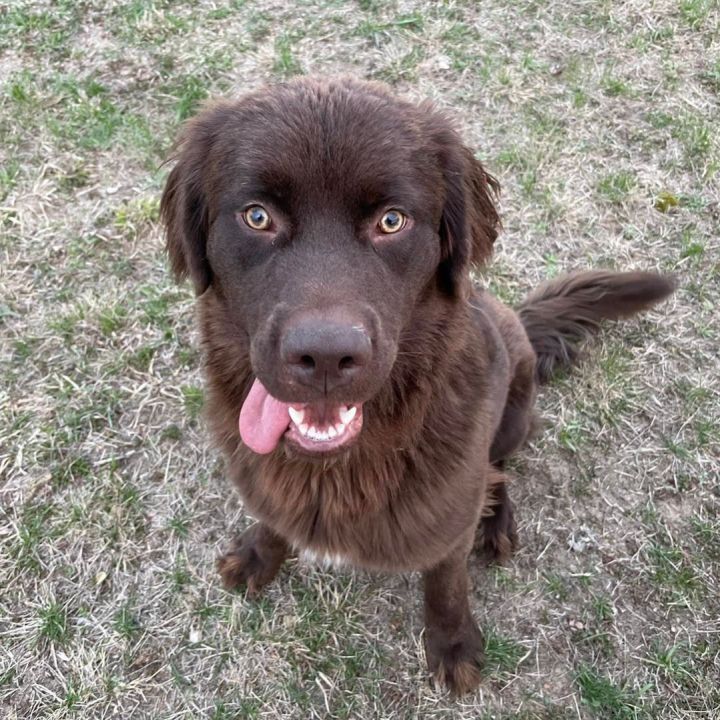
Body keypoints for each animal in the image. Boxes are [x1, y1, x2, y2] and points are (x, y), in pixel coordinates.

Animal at [162, 76, 676, 696]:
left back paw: (497, 519)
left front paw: (452, 646)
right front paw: (259, 555)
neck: (339, 467)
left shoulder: (448, 518)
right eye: (257, 217)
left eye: (392, 221)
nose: (327, 356)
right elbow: (271, 515)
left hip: (512, 414)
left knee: (497, 468)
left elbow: (446, 583)